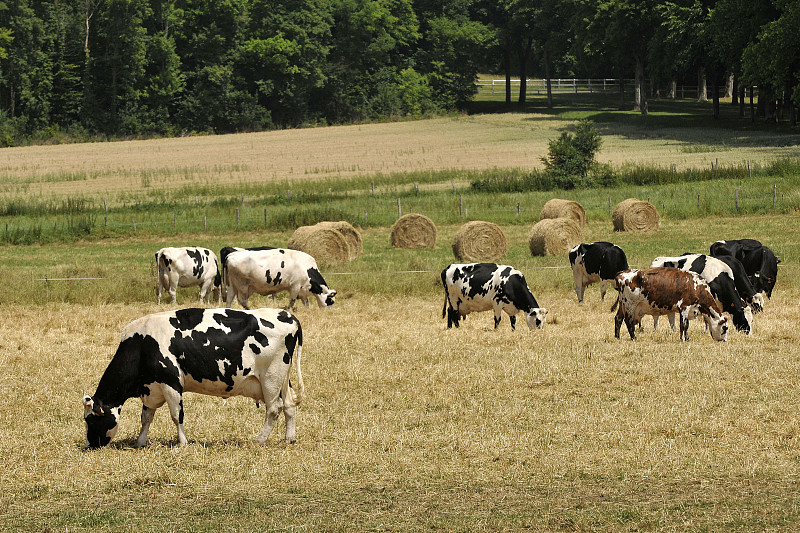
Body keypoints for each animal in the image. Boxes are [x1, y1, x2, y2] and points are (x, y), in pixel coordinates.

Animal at [83, 306, 304, 446]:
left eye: (90, 420)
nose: (89, 445)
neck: (142, 344)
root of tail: (288, 315)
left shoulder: (171, 383)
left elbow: (176, 415)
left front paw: (182, 443)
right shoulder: (151, 387)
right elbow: (146, 417)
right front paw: (140, 442)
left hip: (271, 378)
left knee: (274, 409)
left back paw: (259, 440)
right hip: (282, 379)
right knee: (289, 404)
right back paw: (289, 438)